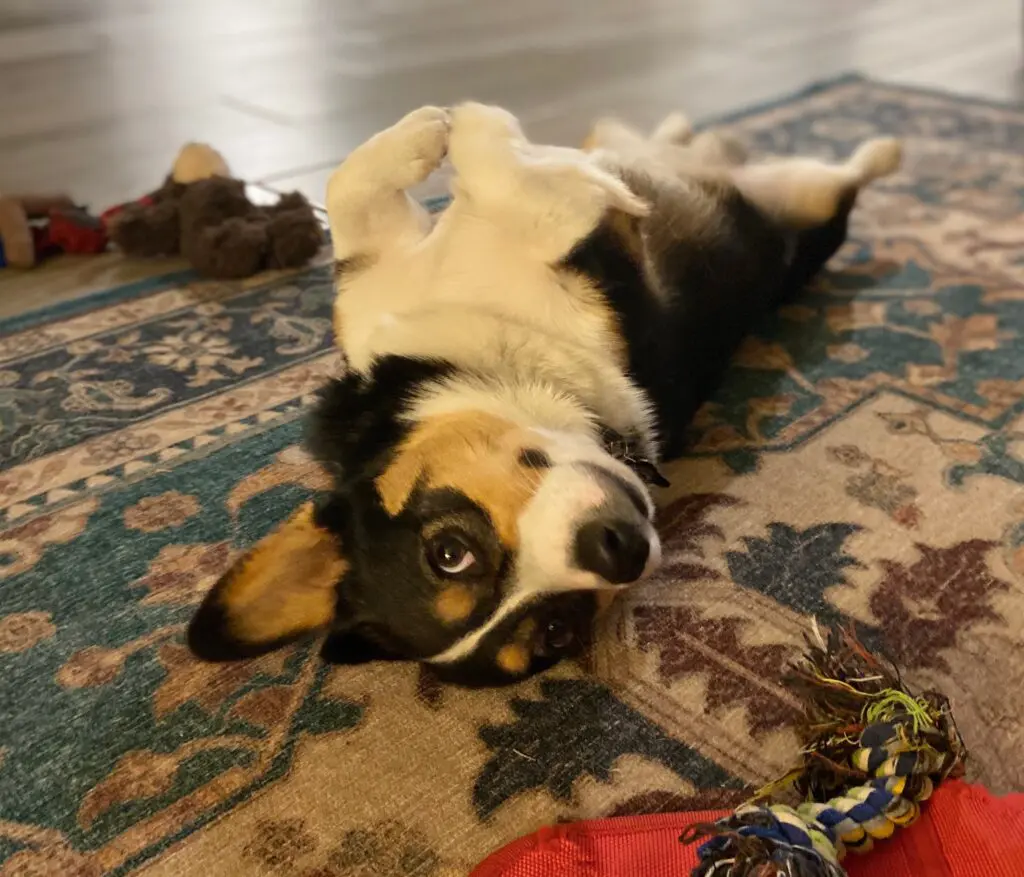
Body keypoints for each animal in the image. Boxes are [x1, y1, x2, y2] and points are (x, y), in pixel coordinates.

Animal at [188, 102, 901, 688]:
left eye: (449, 553)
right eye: (558, 632)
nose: (620, 552)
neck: (496, 353)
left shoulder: (381, 282)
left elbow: (356, 188)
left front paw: (440, 128)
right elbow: (509, 178)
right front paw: (473, 134)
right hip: (798, 196)